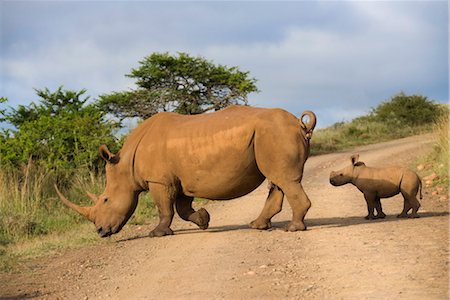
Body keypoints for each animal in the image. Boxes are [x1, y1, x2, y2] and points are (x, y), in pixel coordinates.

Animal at [55, 105, 316, 237]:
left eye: (106, 200)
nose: (100, 232)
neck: (125, 164)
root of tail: (300, 123)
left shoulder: (159, 181)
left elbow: (164, 209)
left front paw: (157, 234)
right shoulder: (180, 180)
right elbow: (182, 209)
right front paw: (204, 220)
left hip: (275, 133)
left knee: (285, 179)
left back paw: (293, 229)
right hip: (271, 135)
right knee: (277, 180)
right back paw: (258, 226)